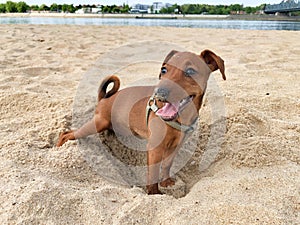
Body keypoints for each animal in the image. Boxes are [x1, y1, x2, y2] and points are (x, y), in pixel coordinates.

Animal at [56, 50, 225, 194]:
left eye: (190, 71)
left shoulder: (176, 146)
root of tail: (104, 98)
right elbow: (153, 174)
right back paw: (60, 148)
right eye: (164, 70)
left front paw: (166, 183)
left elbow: (167, 165)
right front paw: (154, 193)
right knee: (67, 133)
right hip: (98, 123)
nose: (159, 93)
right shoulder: (155, 147)